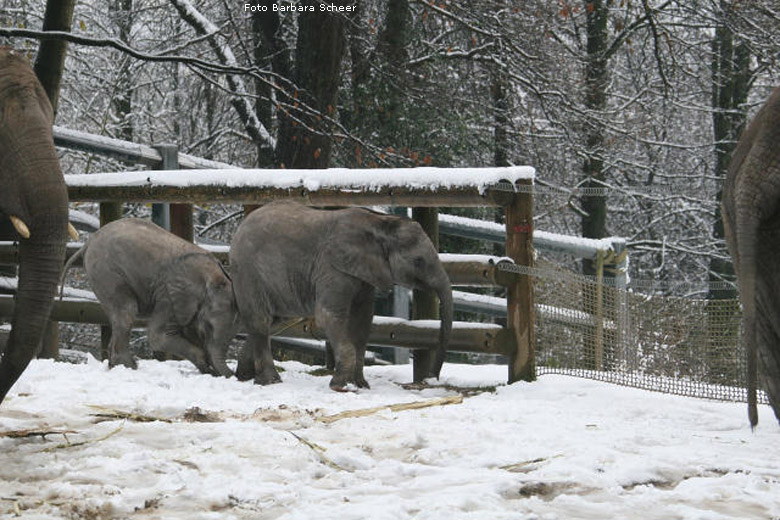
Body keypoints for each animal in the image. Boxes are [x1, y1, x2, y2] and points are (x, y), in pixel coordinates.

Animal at [63, 219, 238, 378]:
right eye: (208, 327)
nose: (232, 375)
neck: (212, 277)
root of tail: (88, 242)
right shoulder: (171, 296)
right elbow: (157, 337)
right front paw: (206, 366)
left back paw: (116, 367)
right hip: (107, 273)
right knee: (127, 312)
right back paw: (130, 368)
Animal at [229, 199, 454, 390]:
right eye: (418, 261)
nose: (431, 379)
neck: (379, 223)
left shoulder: (365, 274)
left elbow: (363, 322)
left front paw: (361, 385)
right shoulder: (333, 267)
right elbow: (328, 315)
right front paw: (339, 387)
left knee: (273, 321)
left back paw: (245, 376)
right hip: (248, 271)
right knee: (261, 319)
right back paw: (270, 381)